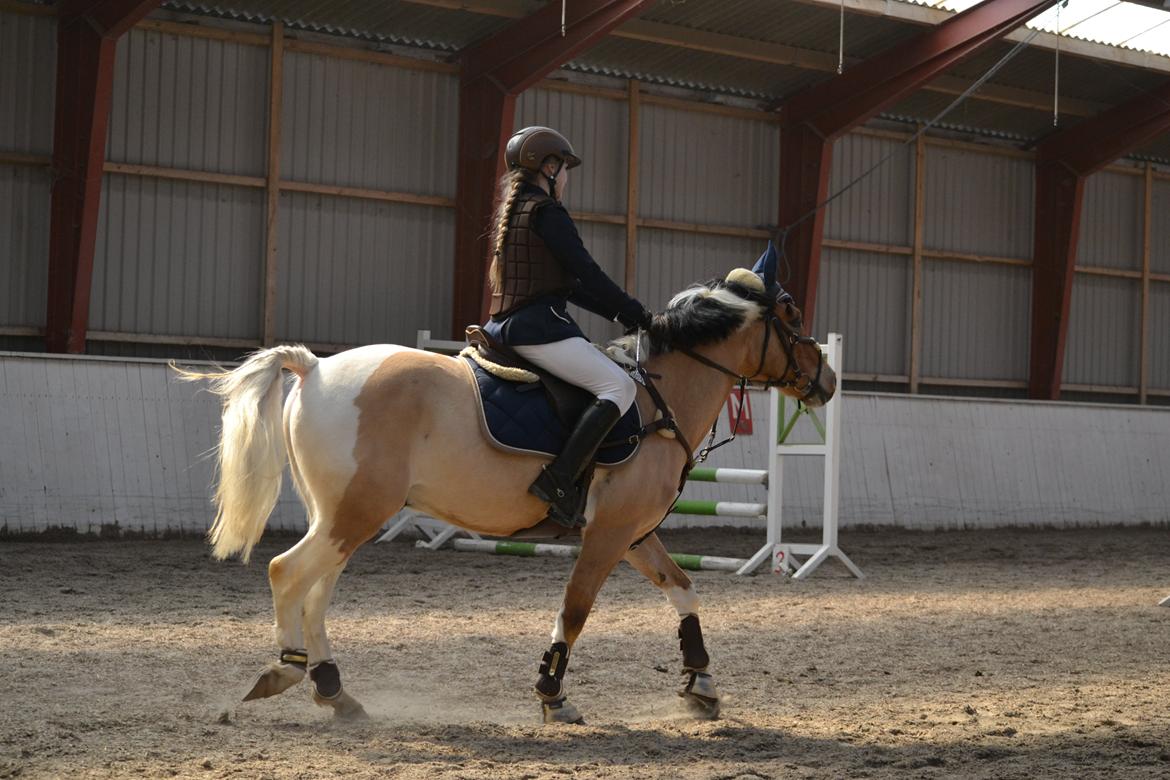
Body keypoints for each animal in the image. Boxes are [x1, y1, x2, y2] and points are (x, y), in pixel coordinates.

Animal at [181, 261, 836, 724]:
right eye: (791, 314)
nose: (827, 380)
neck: (658, 397)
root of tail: (315, 367)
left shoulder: (633, 533)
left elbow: (683, 589)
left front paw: (700, 684)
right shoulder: (608, 534)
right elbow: (575, 609)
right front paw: (552, 694)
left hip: (345, 516)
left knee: (315, 593)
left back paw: (335, 692)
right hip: (354, 515)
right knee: (287, 574)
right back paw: (289, 673)